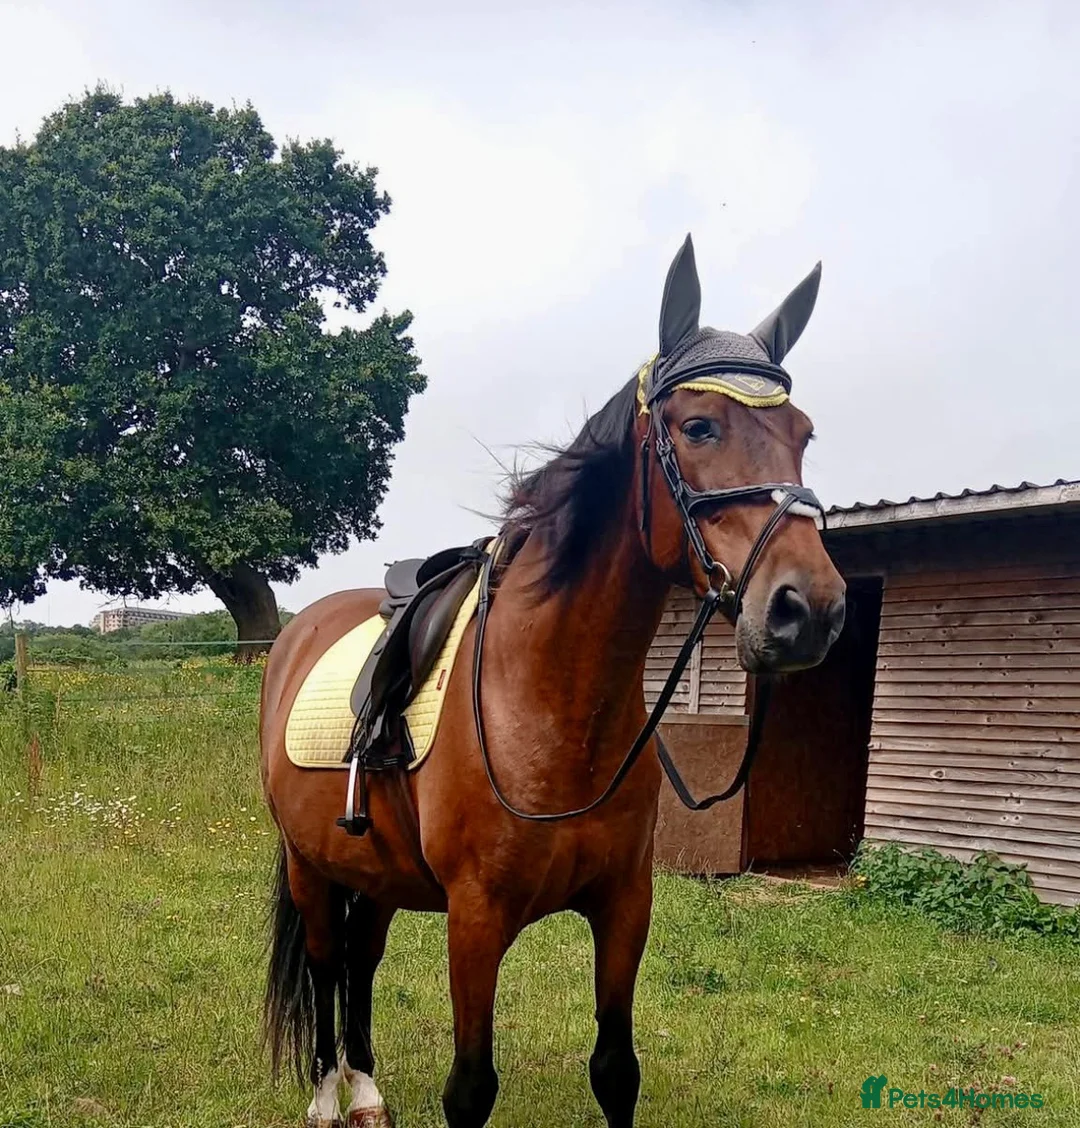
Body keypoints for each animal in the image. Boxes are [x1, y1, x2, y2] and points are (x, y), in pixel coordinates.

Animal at [259, 234, 847, 1128]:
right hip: (311, 867)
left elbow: (615, 1070)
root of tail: (298, 631)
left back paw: (364, 1090)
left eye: (804, 433)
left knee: (362, 961)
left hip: (376, 876)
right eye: (699, 426)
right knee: (329, 964)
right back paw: (328, 1095)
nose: (808, 610)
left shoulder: (625, 906)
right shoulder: (475, 920)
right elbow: (470, 1088)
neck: (553, 705)